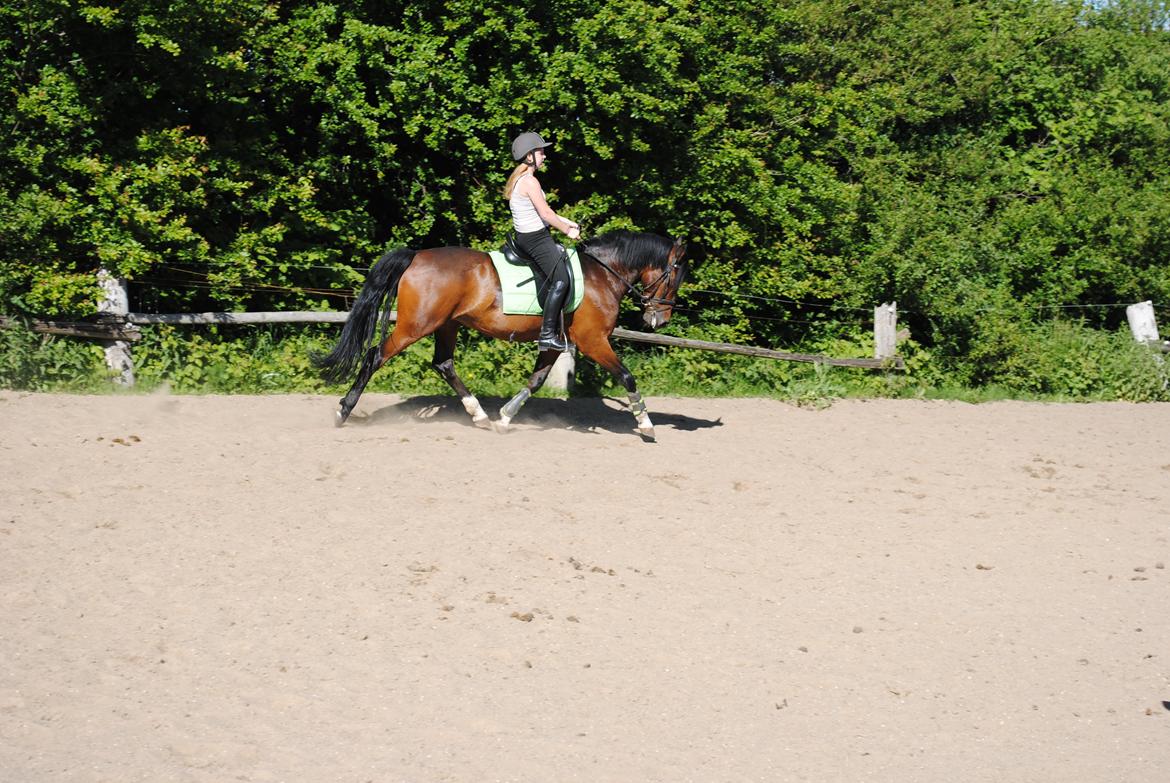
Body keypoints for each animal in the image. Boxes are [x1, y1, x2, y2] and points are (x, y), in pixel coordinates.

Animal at [315, 231, 687, 440]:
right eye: (675, 276)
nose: (659, 320)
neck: (602, 273)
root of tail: (416, 255)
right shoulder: (593, 341)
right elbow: (627, 376)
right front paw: (646, 425)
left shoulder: (556, 343)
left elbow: (536, 381)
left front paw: (505, 418)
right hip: (416, 326)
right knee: (374, 356)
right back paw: (343, 412)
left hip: (447, 324)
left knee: (444, 364)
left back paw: (479, 415)